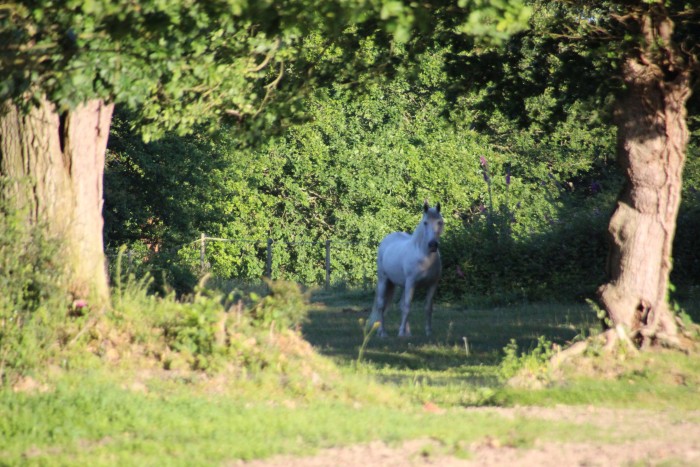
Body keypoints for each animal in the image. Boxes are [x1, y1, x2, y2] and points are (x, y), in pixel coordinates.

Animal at [372, 200, 442, 336]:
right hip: (384, 280)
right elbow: (407, 307)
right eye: (425, 223)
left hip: (403, 285)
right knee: (381, 305)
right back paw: (383, 332)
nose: (432, 245)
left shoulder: (432, 284)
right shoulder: (411, 283)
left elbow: (428, 308)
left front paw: (428, 332)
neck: (424, 257)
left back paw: (407, 334)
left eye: (440, 222)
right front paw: (400, 333)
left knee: (400, 305)